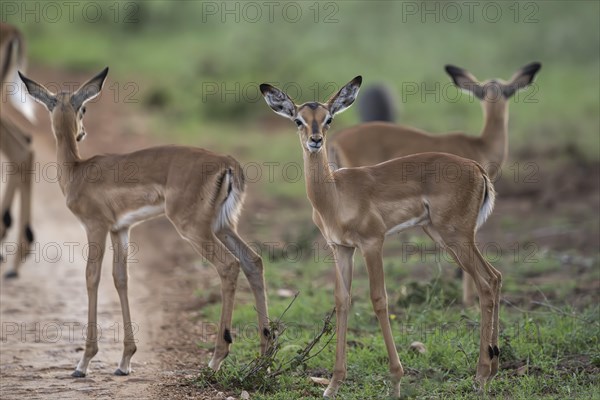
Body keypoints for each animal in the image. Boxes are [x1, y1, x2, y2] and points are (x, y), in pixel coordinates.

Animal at [20, 68, 270, 378]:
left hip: (194, 228)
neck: (77, 171)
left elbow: (92, 277)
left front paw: (83, 363)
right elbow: (121, 278)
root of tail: (228, 163)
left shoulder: (95, 226)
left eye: (85, 108)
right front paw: (125, 361)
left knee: (229, 265)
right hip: (223, 226)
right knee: (253, 261)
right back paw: (265, 358)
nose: (81, 133)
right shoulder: (120, 229)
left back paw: (216, 359)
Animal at [262, 77, 502, 396]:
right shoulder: (341, 249)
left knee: (485, 283)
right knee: (495, 277)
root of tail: (477, 168)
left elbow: (379, 299)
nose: (315, 140)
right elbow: (342, 301)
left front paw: (396, 381)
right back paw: (492, 368)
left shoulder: (372, 243)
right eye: (298, 120)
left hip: (457, 236)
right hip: (443, 235)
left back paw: (481, 376)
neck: (334, 194)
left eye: (328, 119)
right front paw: (333, 385)